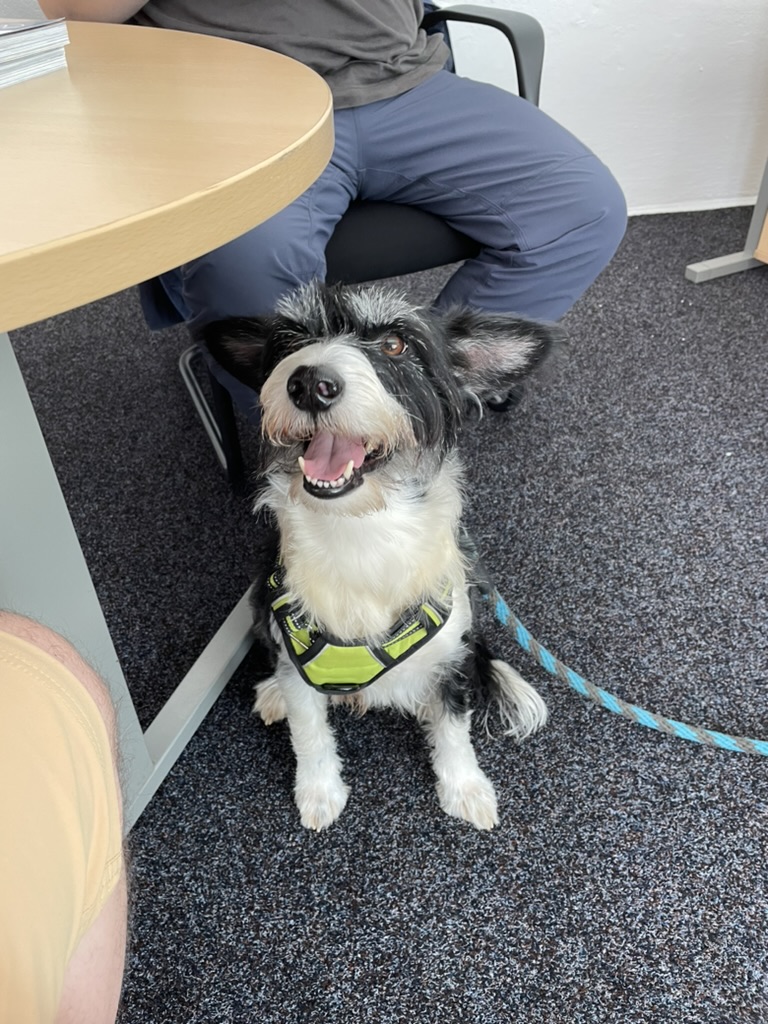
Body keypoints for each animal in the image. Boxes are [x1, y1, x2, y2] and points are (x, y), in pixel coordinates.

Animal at [203, 282, 557, 831]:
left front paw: (465, 788)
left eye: (395, 344)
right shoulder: (296, 657)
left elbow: (454, 728)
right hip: (260, 606)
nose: (309, 383)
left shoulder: (452, 657)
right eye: (290, 340)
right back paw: (272, 692)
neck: (362, 528)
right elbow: (309, 732)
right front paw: (319, 792)